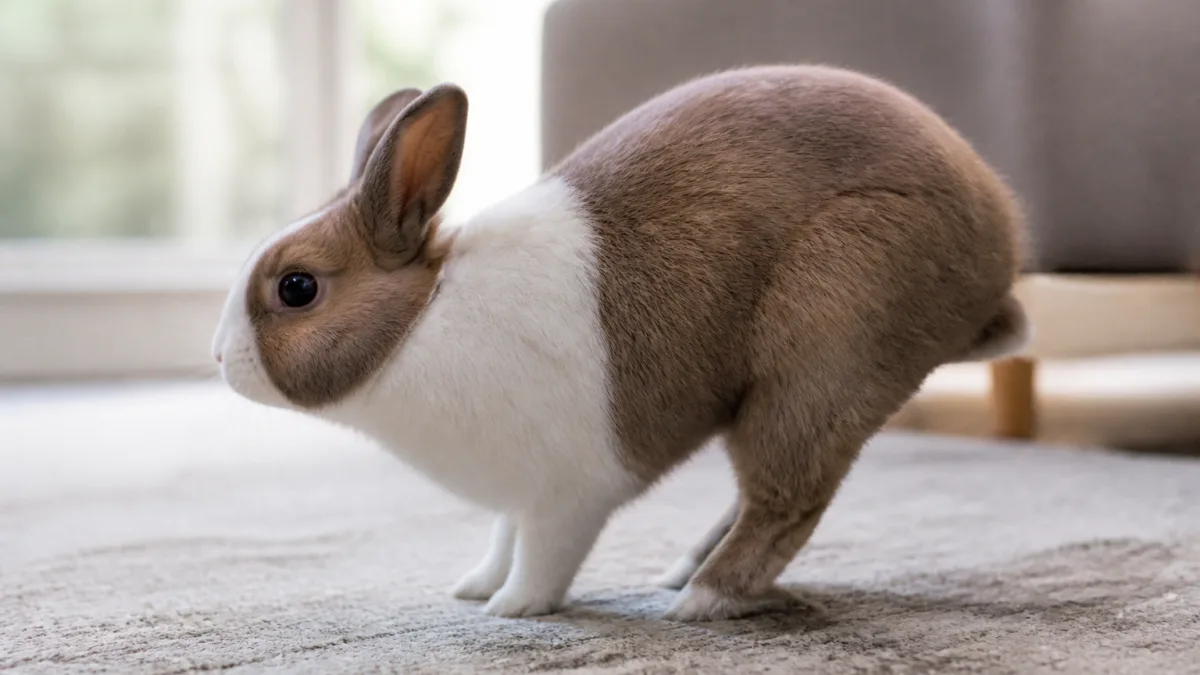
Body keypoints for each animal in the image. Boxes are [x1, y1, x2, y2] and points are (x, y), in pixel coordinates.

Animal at [212, 64, 1029, 622]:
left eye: (296, 287)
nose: (220, 358)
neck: (421, 321)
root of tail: (996, 247)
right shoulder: (515, 494)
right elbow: (502, 537)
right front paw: (474, 585)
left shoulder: (566, 494)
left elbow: (543, 559)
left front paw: (510, 609)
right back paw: (682, 574)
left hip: (819, 354)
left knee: (786, 500)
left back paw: (700, 601)